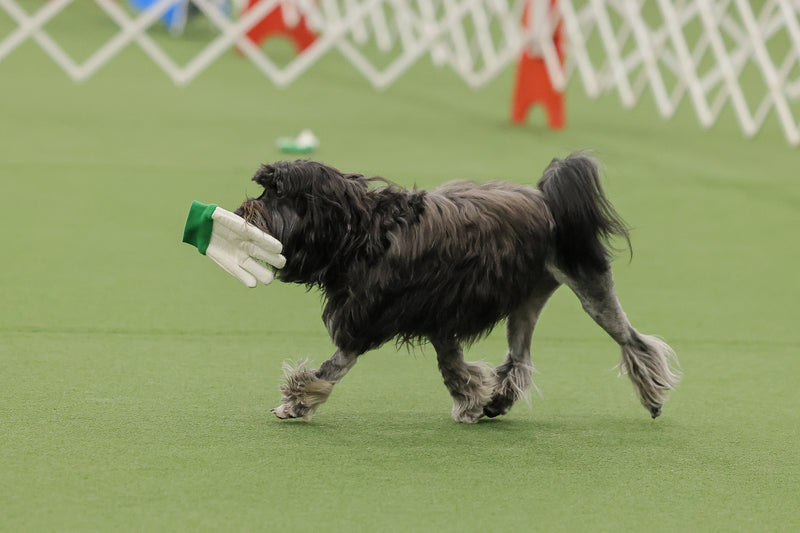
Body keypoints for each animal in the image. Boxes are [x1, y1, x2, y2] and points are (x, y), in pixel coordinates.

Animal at [234, 152, 680, 422]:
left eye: (275, 194)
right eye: (263, 188)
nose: (241, 210)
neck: (360, 234)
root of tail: (547, 199)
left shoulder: (366, 322)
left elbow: (332, 367)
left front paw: (296, 401)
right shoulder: (438, 318)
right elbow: (453, 367)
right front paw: (474, 399)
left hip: (589, 285)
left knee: (633, 341)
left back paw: (654, 396)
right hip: (525, 300)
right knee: (520, 358)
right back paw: (499, 401)